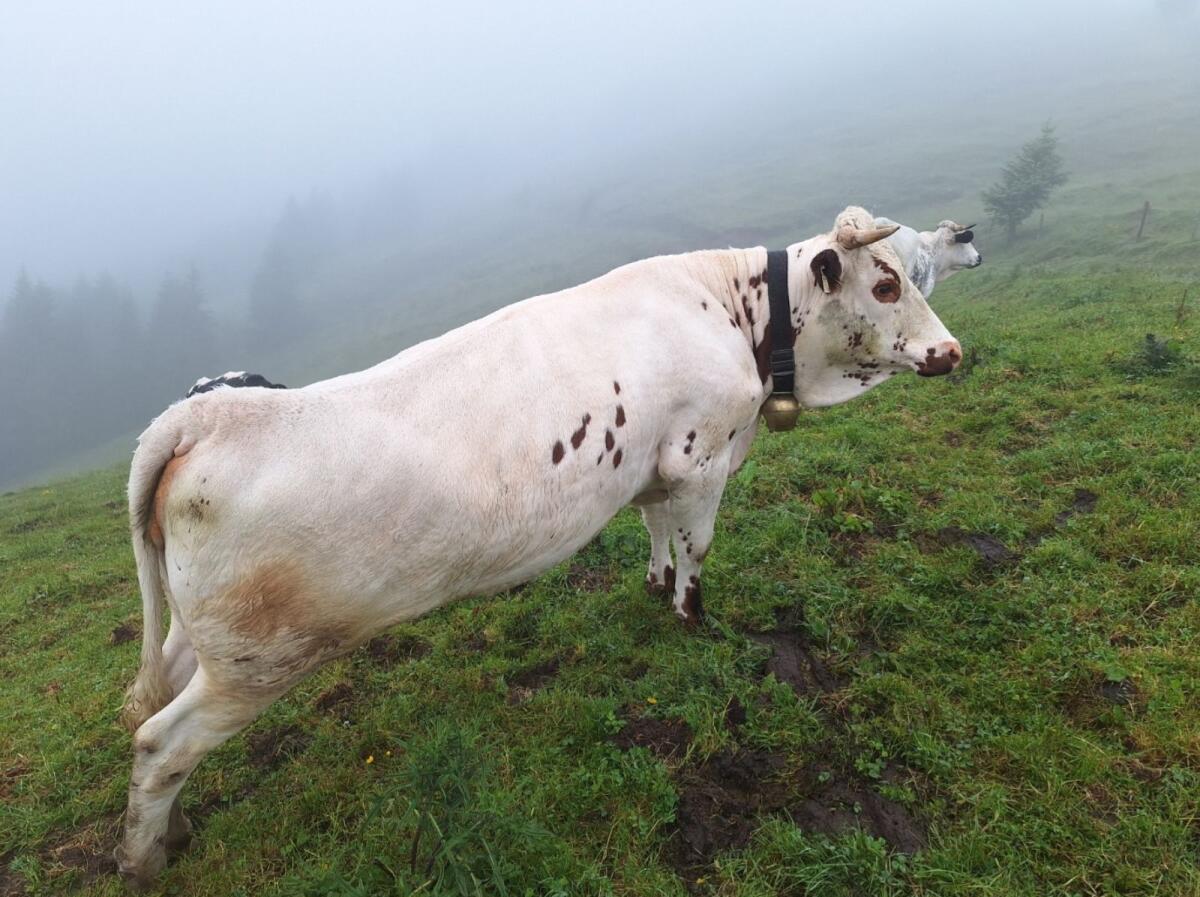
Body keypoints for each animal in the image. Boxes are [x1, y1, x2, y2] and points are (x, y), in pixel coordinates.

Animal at [114, 206, 961, 888]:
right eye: (888, 284)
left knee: (161, 722)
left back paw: (175, 829)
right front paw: (691, 617)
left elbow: (657, 532)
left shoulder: (655, 468)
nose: (951, 350)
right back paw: (143, 858)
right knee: (160, 742)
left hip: (201, 641)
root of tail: (206, 415)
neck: (734, 314)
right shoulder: (700, 457)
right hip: (255, 663)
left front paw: (653, 586)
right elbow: (696, 550)